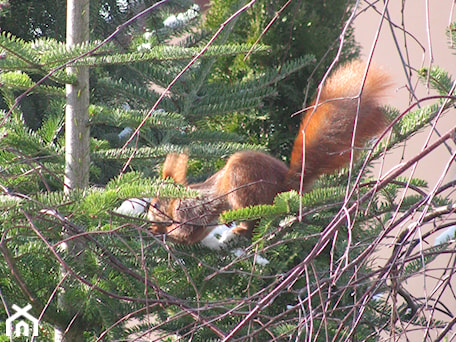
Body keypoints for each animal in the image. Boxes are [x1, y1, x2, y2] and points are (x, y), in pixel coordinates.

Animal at [148, 60, 390, 244]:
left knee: (253, 219)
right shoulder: (203, 221)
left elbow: (184, 232)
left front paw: (160, 232)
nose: (149, 219)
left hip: (242, 185)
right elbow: (193, 236)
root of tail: (283, 188)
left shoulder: (191, 208)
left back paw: (240, 229)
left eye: (155, 204)